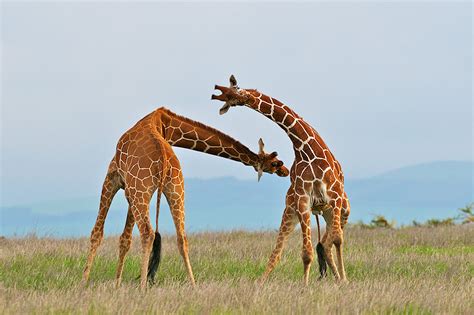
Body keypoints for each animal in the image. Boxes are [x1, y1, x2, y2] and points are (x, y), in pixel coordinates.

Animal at [82, 107, 288, 290]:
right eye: (276, 163)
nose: (285, 171)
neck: (168, 126)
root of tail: (164, 160)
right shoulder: (126, 186)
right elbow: (123, 238)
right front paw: (115, 285)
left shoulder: (115, 178)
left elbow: (98, 233)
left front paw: (85, 284)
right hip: (174, 189)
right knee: (182, 238)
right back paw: (193, 286)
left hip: (142, 189)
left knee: (148, 233)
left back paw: (142, 288)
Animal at [213, 76, 350, 284]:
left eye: (235, 90)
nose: (216, 92)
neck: (305, 148)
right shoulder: (303, 201)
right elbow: (306, 253)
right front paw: (305, 286)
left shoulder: (334, 197)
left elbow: (337, 240)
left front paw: (343, 280)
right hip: (294, 212)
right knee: (285, 251)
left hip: (341, 210)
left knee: (330, 241)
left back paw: (341, 279)